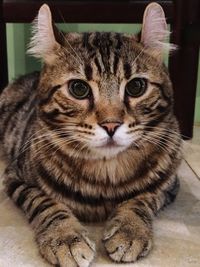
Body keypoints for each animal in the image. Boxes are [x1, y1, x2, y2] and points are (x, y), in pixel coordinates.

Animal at [0, 2, 182, 267]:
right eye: (78, 88)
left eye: (136, 87)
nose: (111, 125)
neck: (105, 174)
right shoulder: (15, 177)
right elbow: (44, 201)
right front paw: (65, 236)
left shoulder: (169, 185)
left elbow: (142, 198)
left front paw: (130, 229)